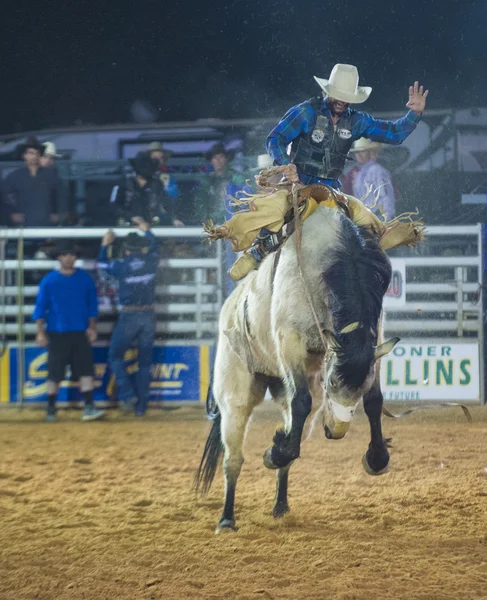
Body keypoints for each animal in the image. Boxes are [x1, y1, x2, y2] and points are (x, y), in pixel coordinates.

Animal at [194, 204, 400, 532]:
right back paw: (226, 518)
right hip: (234, 393)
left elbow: (374, 401)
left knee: (291, 426)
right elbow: (301, 401)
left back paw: (280, 504)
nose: (336, 432)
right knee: (233, 458)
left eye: (361, 385)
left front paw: (376, 458)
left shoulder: (375, 342)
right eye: (331, 384)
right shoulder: (289, 341)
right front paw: (273, 452)